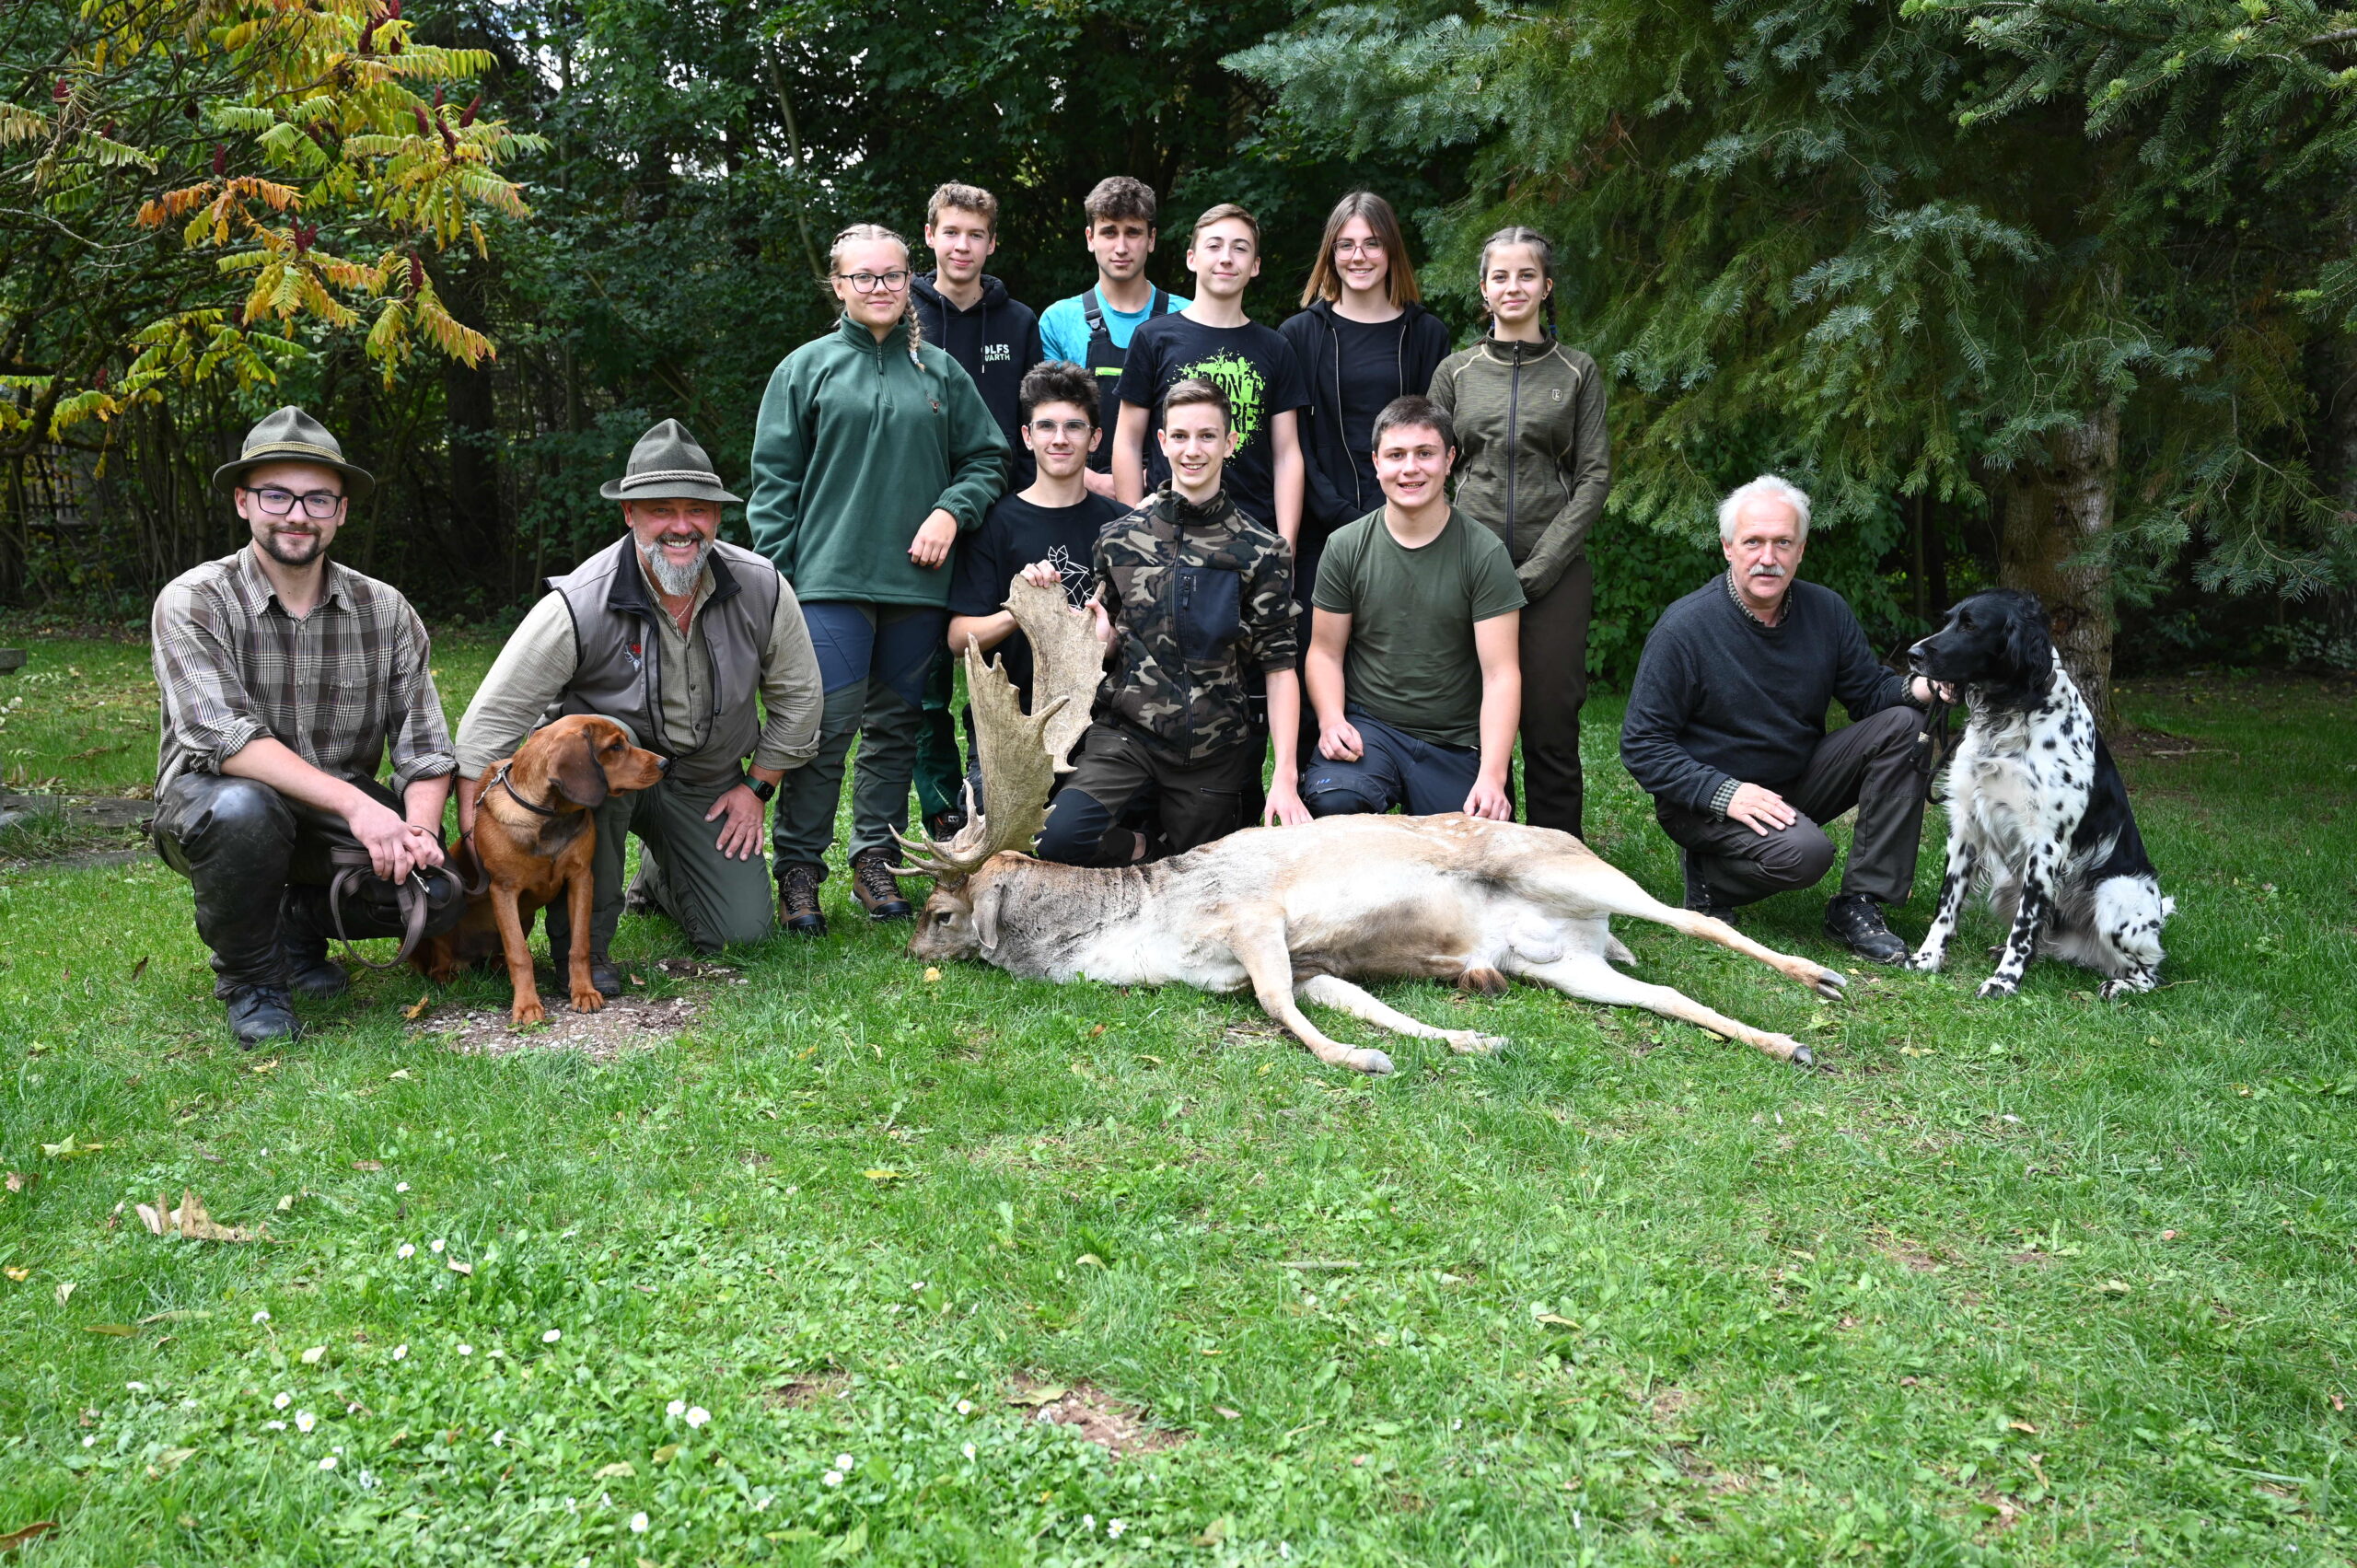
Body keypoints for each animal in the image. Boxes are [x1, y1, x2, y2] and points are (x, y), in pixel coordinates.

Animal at [414, 712, 669, 1028]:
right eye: (615, 746)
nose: (665, 764)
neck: (550, 817)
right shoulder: (504, 890)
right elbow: (519, 954)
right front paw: (527, 1005)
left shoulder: (581, 878)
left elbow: (579, 945)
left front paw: (584, 992)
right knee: (438, 965)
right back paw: (453, 979)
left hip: (526, 919)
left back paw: (496, 966)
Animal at [890, 575, 1848, 1074]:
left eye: (939, 913)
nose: (908, 951)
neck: (1150, 930)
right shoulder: (1312, 962)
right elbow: (1361, 1006)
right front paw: (1470, 1036)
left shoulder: (1256, 919)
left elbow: (1280, 1008)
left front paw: (1359, 1062)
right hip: (1565, 962)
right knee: (1664, 993)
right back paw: (1785, 1043)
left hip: (1559, 864)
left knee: (1695, 916)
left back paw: (1822, 982)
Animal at [1904, 594, 2158, 994]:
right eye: (1947, 620)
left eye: (1970, 625)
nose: (1912, 654)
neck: (2007, 717)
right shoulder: (1964, 827)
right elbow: (1946, 904)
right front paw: (1927, 958)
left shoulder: (2046, 843)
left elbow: (2025, 925)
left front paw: (2004, 980)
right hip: (2008, 883)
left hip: (2115, 896)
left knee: (2147, 971)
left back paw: (2121, 986)